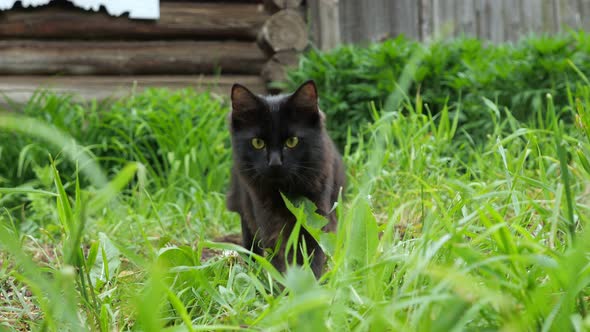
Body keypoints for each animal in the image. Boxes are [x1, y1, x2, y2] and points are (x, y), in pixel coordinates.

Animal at [227, 80, 346, 278]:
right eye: (258, 143)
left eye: (292, 141)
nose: (275, 163)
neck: (284, 193)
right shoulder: (268, 221)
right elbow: (280, 257)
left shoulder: (315, 215)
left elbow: (312, 255)